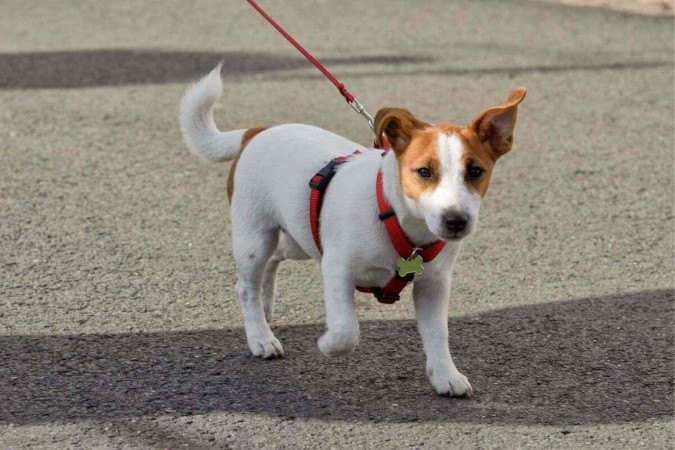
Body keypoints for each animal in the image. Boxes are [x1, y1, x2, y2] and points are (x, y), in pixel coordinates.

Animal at [181, 65, 528, 396]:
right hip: (254, 237)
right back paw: (260, 337)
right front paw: (327, 345)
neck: (397, 219)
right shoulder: (336, 269)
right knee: (246, 286)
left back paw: (265, 311)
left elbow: (437, 333)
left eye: (475, 172)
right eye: (424, 172)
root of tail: (257, 132)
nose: (456, 220)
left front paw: (445, 375)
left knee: (274, 260)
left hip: (299, 235)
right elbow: (347, 330)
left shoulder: (434, 284)